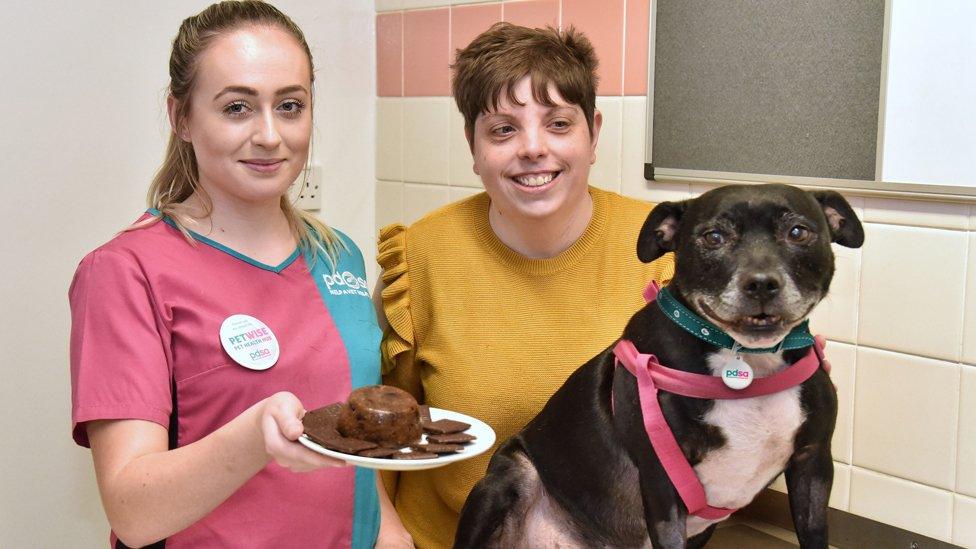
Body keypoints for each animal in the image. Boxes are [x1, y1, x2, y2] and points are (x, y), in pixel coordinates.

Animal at [456, 185, 860, 548]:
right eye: (713, 237)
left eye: (798, 232)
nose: (761, 284)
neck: (747, 362)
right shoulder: (663, 484)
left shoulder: (813, 464)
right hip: (507, 478)